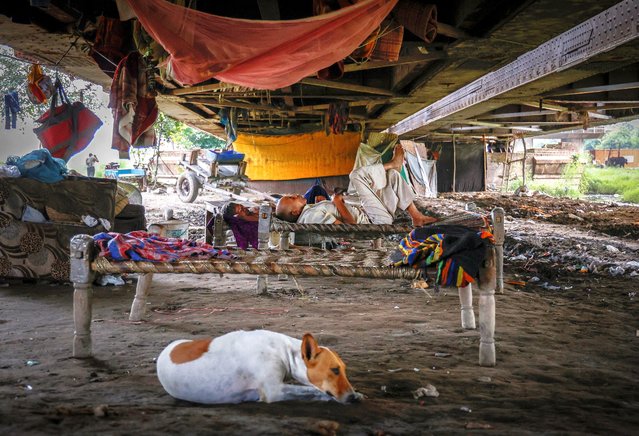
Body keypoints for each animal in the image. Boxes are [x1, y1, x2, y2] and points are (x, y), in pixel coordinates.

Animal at [157, 330, 362, 406]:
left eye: (343, 369)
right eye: (334, 370)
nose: (351, 397)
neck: (283, 351)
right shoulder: (275, 391)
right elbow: (314, 391)